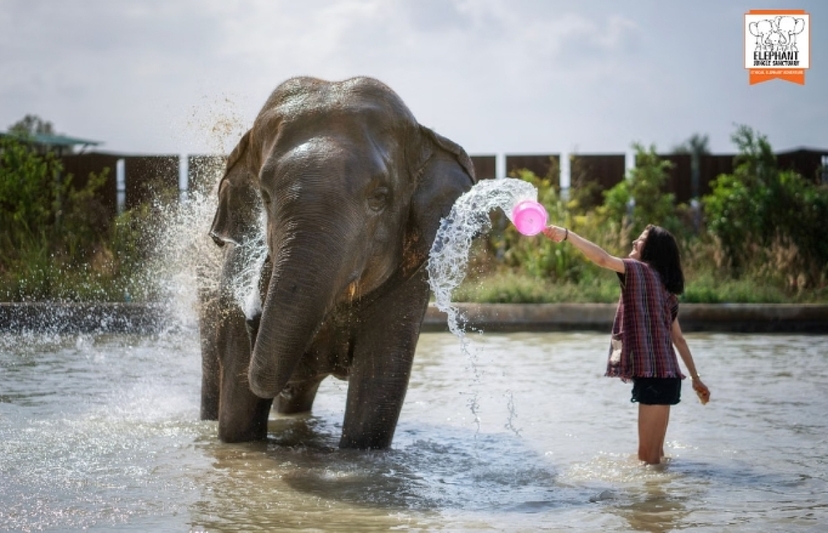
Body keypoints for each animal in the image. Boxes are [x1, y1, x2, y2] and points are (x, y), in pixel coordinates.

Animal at [198, 76, 477, 449]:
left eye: (380, 198)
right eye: (266, 197)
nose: (253, 314)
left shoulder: (408, 282)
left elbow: (378, 392)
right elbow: (238, 419)